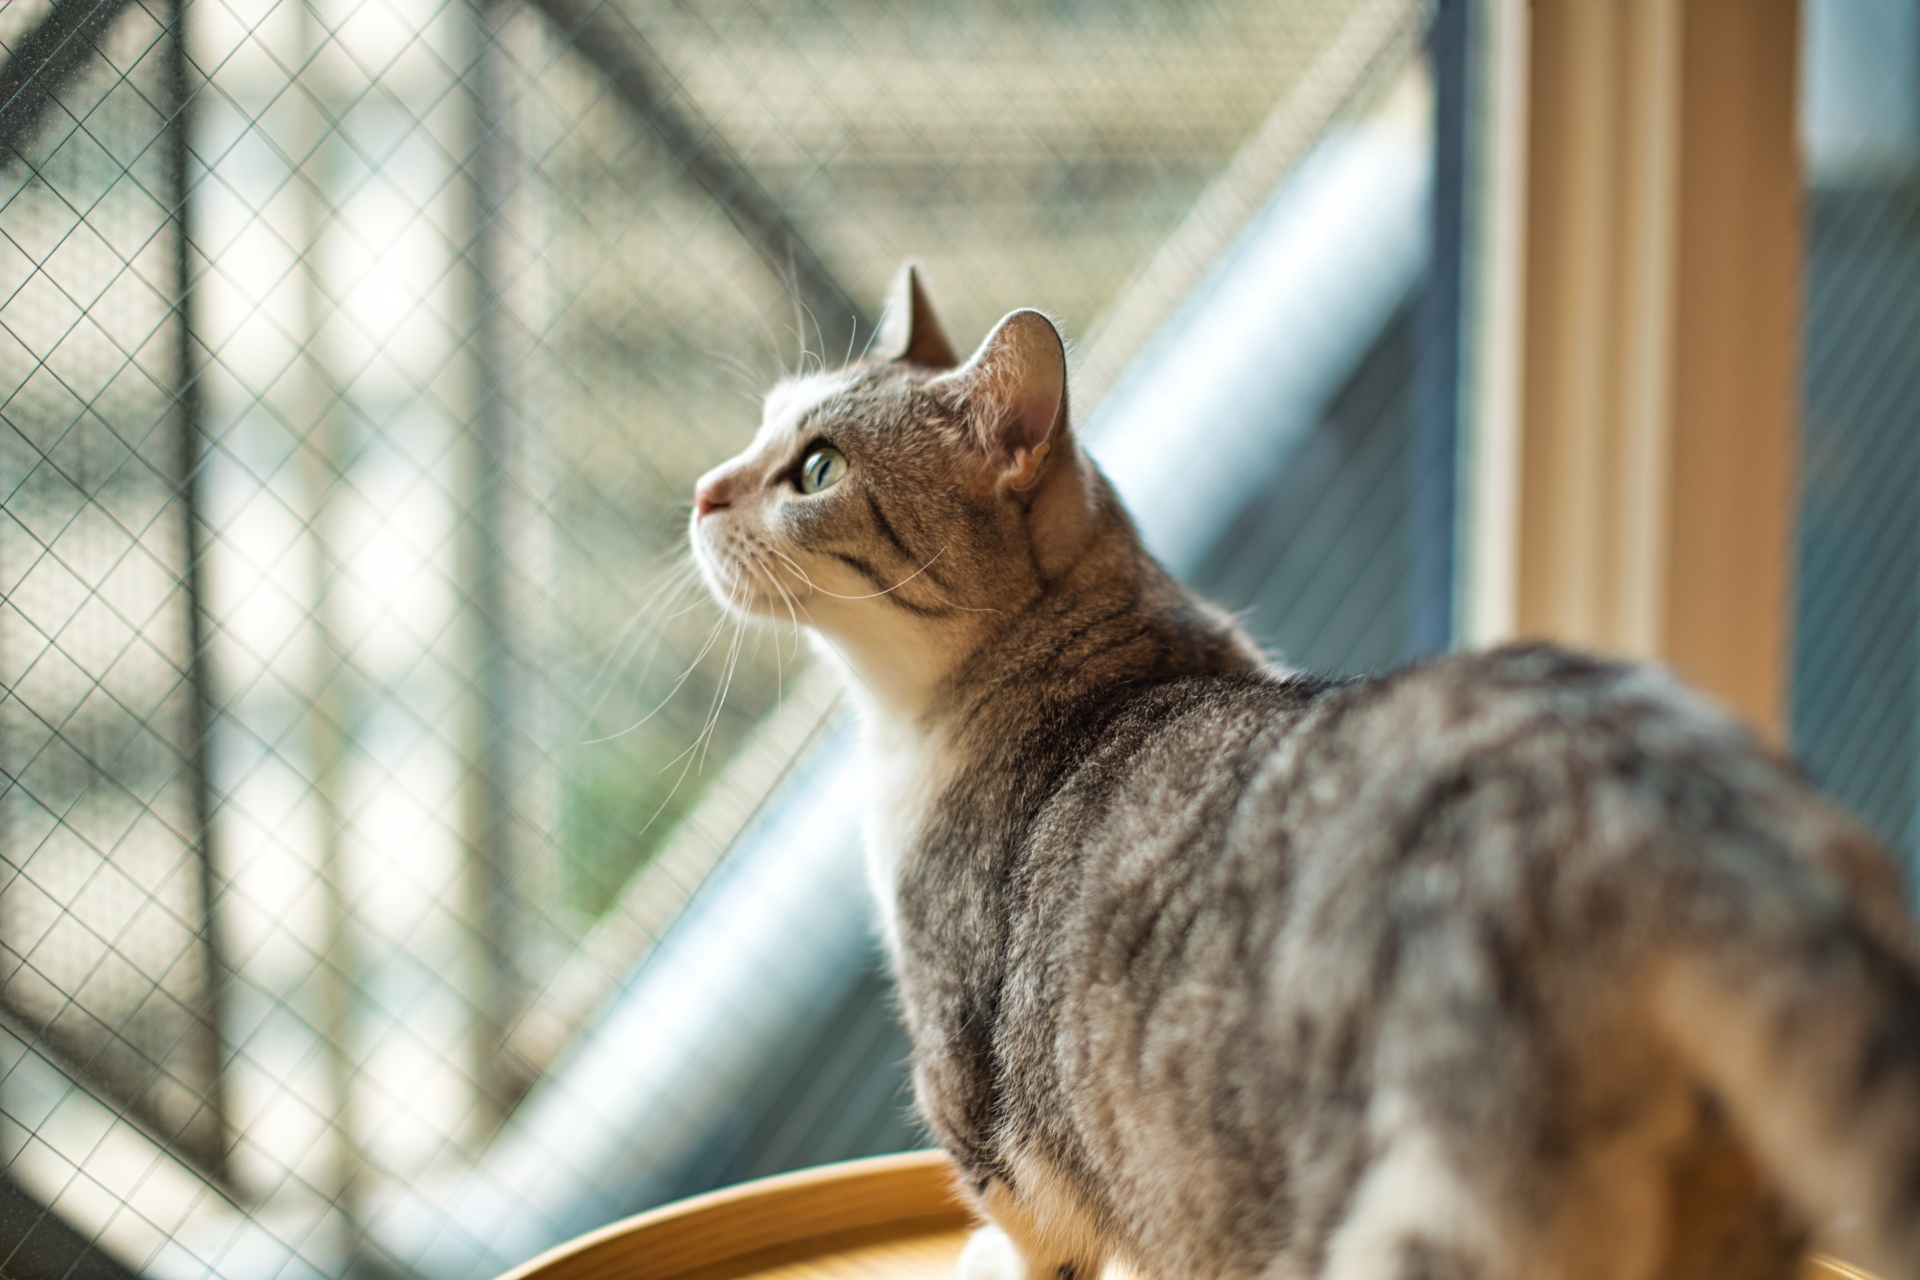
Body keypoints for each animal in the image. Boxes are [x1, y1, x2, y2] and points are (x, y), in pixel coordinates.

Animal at [691, 262, 1920, 1280]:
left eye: (816, 467)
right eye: (760, 425)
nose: (703, 489)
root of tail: (1658, 781)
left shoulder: (966, 1072)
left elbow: (1023, 1222)